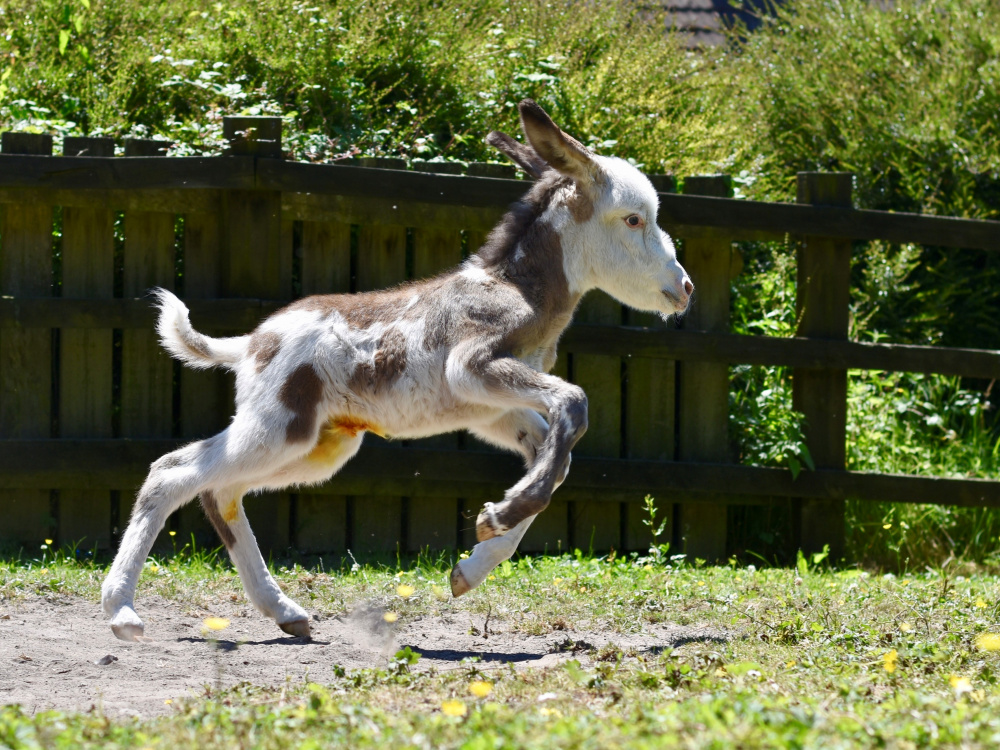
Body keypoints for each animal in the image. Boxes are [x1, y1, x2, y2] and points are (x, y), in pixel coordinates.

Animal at [101, 98, 696, 640]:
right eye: (634, 219)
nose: (684, 288)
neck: (516, 290)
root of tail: (250, 343)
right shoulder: (472, 368)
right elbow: (575, 406)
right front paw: (495, 520)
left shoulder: (494, 410)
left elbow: (557, 459)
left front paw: (473, 560)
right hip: (277, 428)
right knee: (173, 471)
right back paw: (122, 611)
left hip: (317, 446)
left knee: (219, 489)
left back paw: (285, 611)